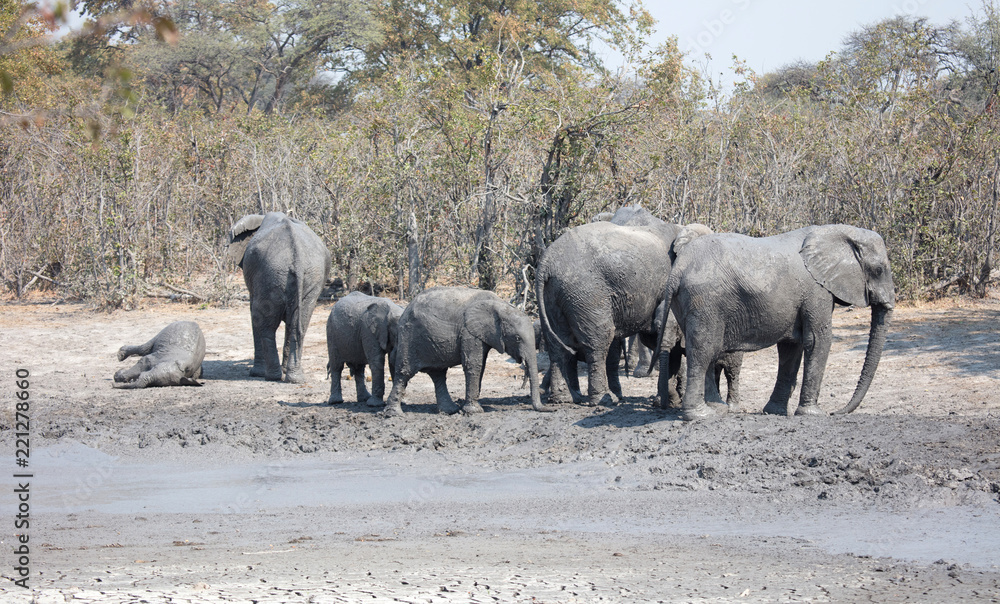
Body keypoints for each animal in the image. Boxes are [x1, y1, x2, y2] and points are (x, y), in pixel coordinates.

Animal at [228, 212, 331, 383]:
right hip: (309, 277)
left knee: (264, 324)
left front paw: (255, 373)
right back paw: (294, 378)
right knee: (299, 324)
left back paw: (270, 376)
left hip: (269, 275)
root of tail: (297, 257)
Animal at [383, 286, 549, 416]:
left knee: (438, 375)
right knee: (404, 372)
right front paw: (474, 411)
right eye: (517, 338)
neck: (501, 306)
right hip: (409, 336)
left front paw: (468, 408)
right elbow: (473, 365)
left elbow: (481, 366)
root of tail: (406, 308)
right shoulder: (468, 332)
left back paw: (450, 411)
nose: (549, 409)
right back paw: (394, 414)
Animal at [536, 205, 712, 407]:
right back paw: (604, 400)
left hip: (555, 292)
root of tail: (546, 262)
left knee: (559, 344)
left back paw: (565, 399)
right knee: (598, 341)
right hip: (585, 292)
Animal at [656, 224, 895, 421]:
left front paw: (776, 412)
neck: (840, 231)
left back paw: (718, 410)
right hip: (705, 300)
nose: (836, 412)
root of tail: (678, 268)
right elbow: (817, 341)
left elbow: (791, 348)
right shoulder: (816, 291)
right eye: (879, 269)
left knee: (707, 350)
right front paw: (813, 414)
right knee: (703, 351)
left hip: (689, 304)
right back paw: (700, 415)